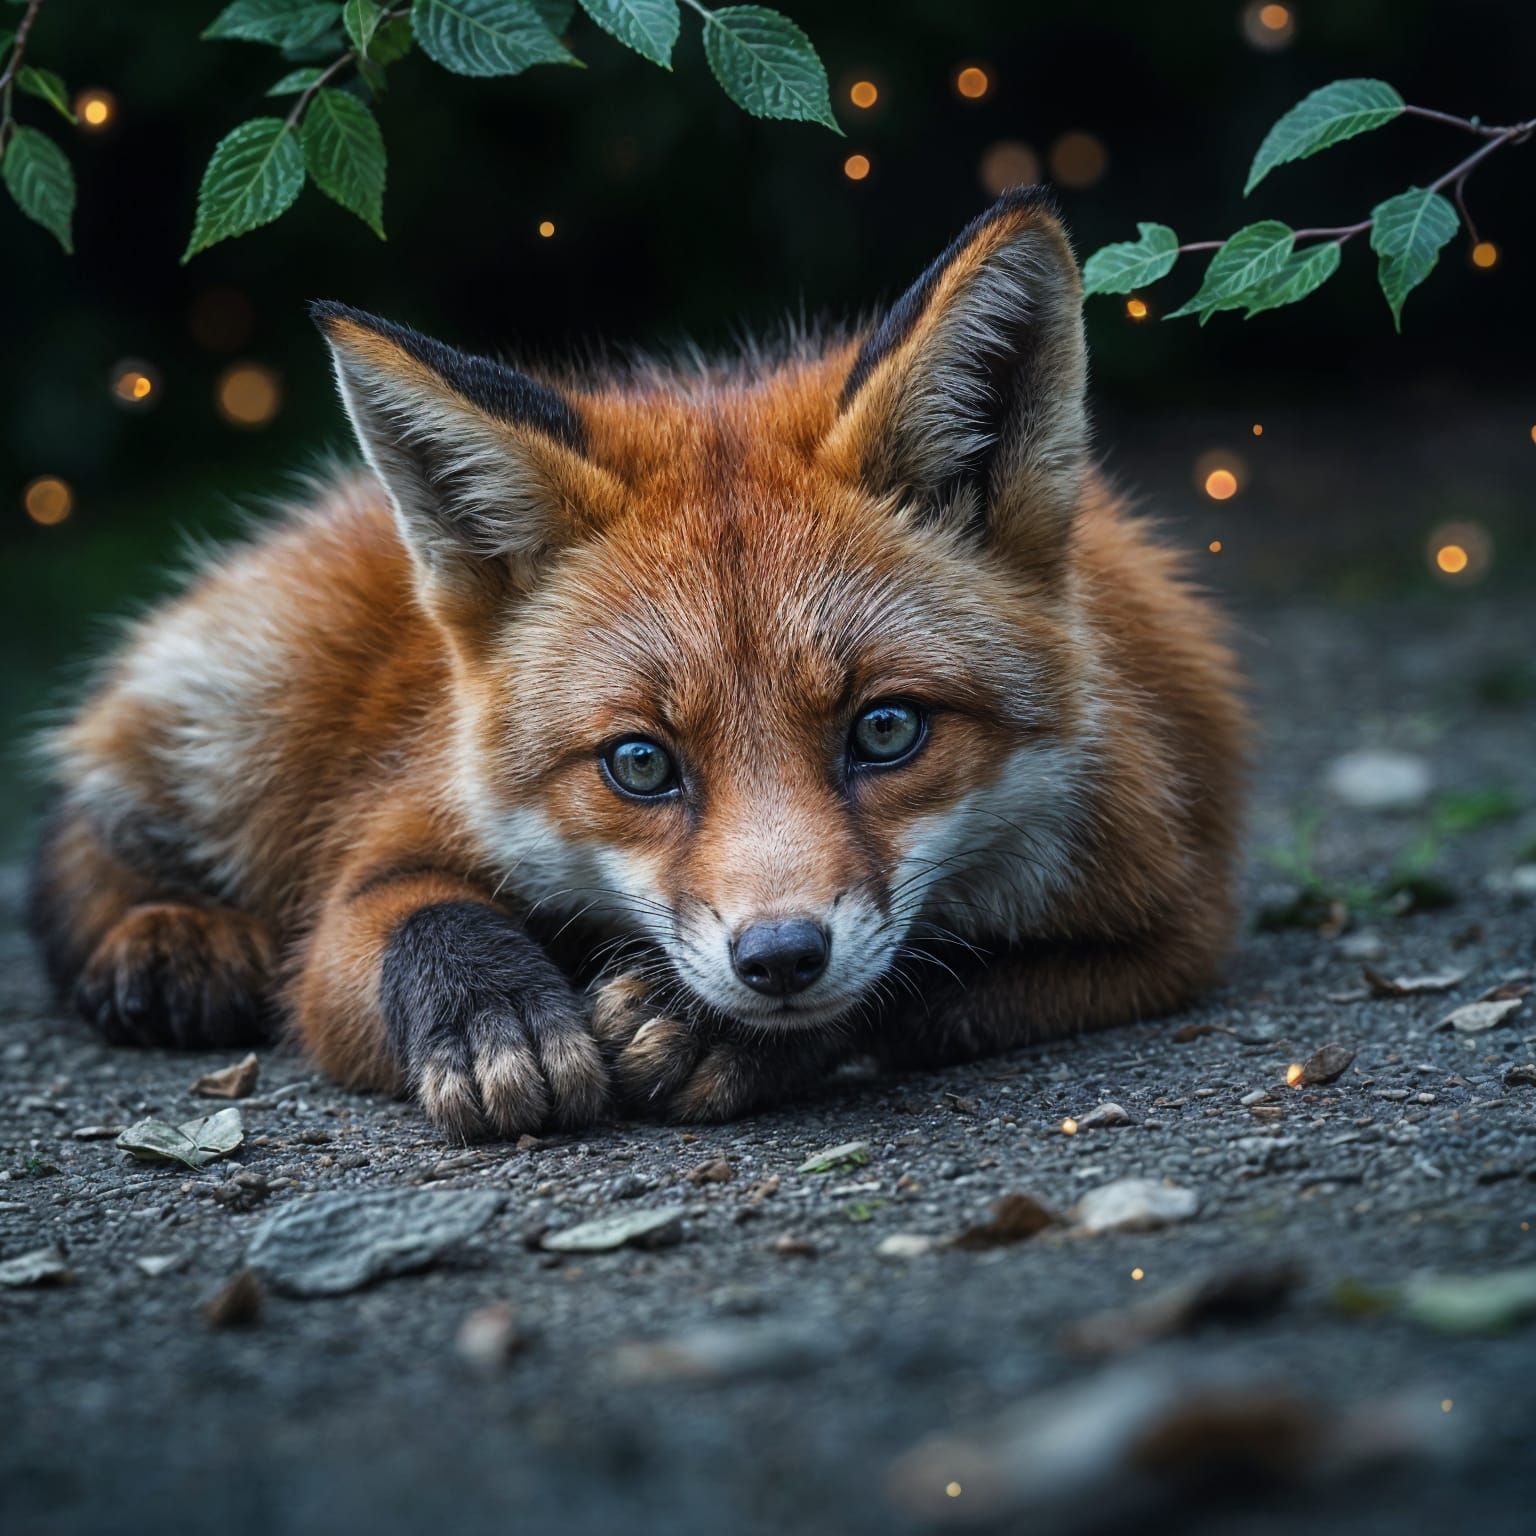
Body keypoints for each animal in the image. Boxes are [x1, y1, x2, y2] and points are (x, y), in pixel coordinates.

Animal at [27, 190, 1245, 1141]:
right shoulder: (371, 872)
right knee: (78, 837)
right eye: (641, 764)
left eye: (886, 729)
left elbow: (927, 980)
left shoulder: (1174, 926)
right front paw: (499, 1016)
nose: (780, 960)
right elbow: (410, 916)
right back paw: (166, 938)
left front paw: (707, 1027)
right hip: (253, 718)